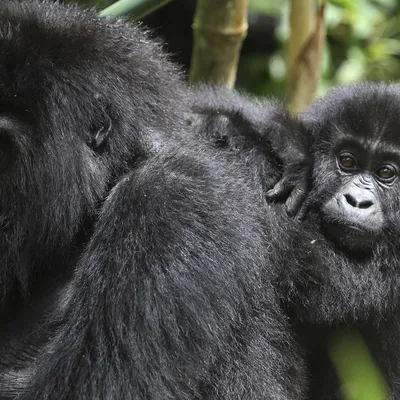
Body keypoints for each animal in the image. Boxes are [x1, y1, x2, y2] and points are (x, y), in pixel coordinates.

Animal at [193, 83, 400, 396]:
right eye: (347, 161)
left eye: (386, 172)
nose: (357, 201)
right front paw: (290, 144)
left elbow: (315, 268)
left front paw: (234, 131)